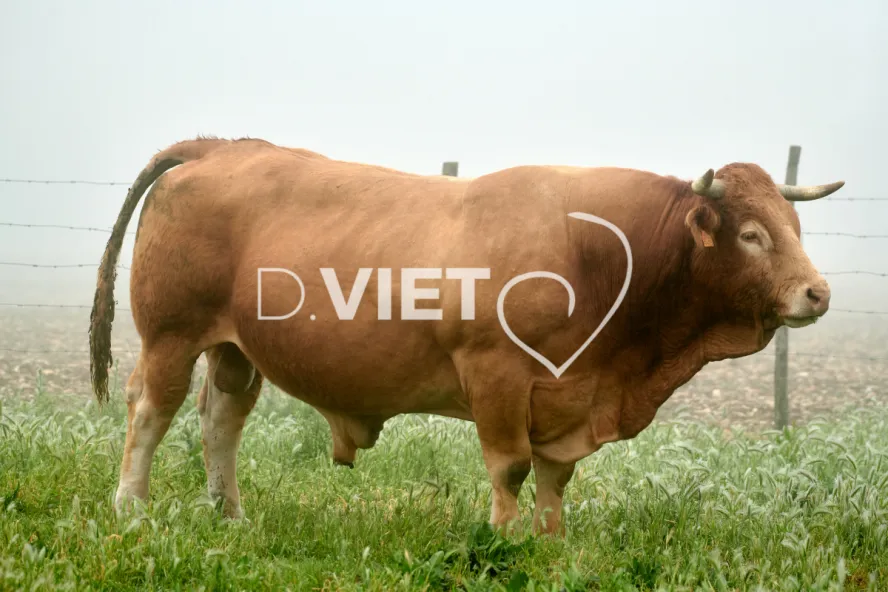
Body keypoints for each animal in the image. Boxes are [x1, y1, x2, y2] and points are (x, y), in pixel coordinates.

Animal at [89, 137, 843, 535]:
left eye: (795, 227)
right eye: (752, 234)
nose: (819, 294)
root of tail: (225, 146)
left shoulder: (567, 396)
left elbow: (555, 475)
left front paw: (551, 539)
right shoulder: (498, 375)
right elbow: (510, 465)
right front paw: (507, 537)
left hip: (235, 348)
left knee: (221, 419)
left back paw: (230, 515)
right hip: (171, 335)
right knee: (150, 411)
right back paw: (131, 508)